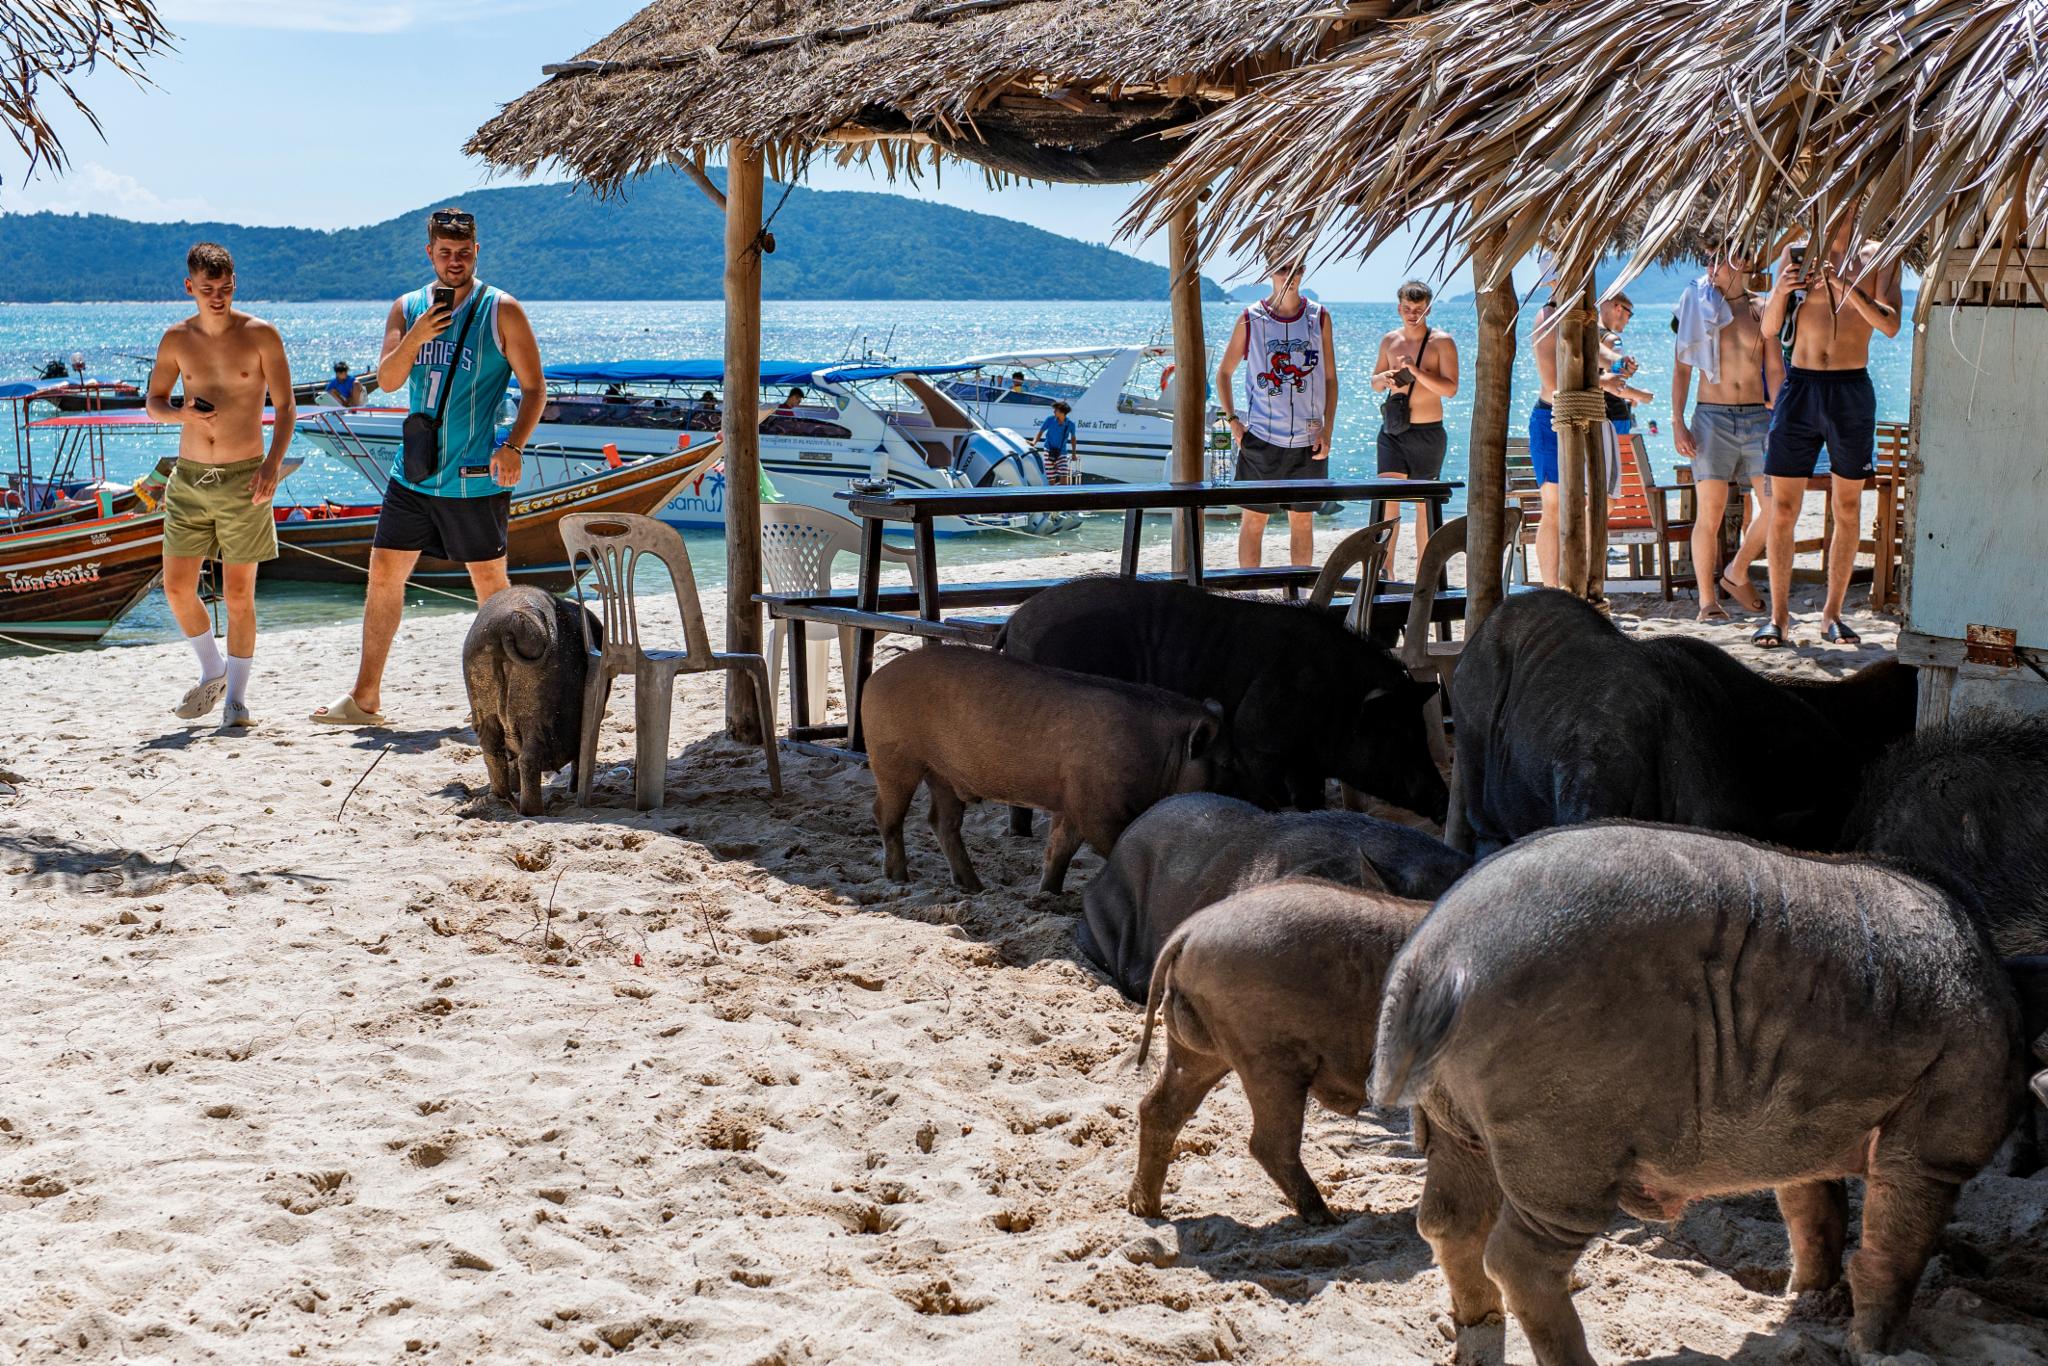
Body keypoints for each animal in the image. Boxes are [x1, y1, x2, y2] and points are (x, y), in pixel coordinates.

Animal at [860, 651, 1212, 897]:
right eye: (1223, 765)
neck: (1162, 750)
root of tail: (874, 679)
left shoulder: (1073, 802)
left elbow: (1060, 847)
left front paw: (1048, 895)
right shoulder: (1097, 806)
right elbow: (1111, 843)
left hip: (943, 774)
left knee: (942, 822)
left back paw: (975, 888)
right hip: (895, 760)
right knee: (885, 813)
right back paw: (899, 879)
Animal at [1130, 880, 1433, 1220]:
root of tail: (1190, 931)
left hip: (1199, 1052)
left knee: (1160, 1109)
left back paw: (1146, 1210)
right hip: (1269, 1058)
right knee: (1270, 1143)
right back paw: (1327, 1217)